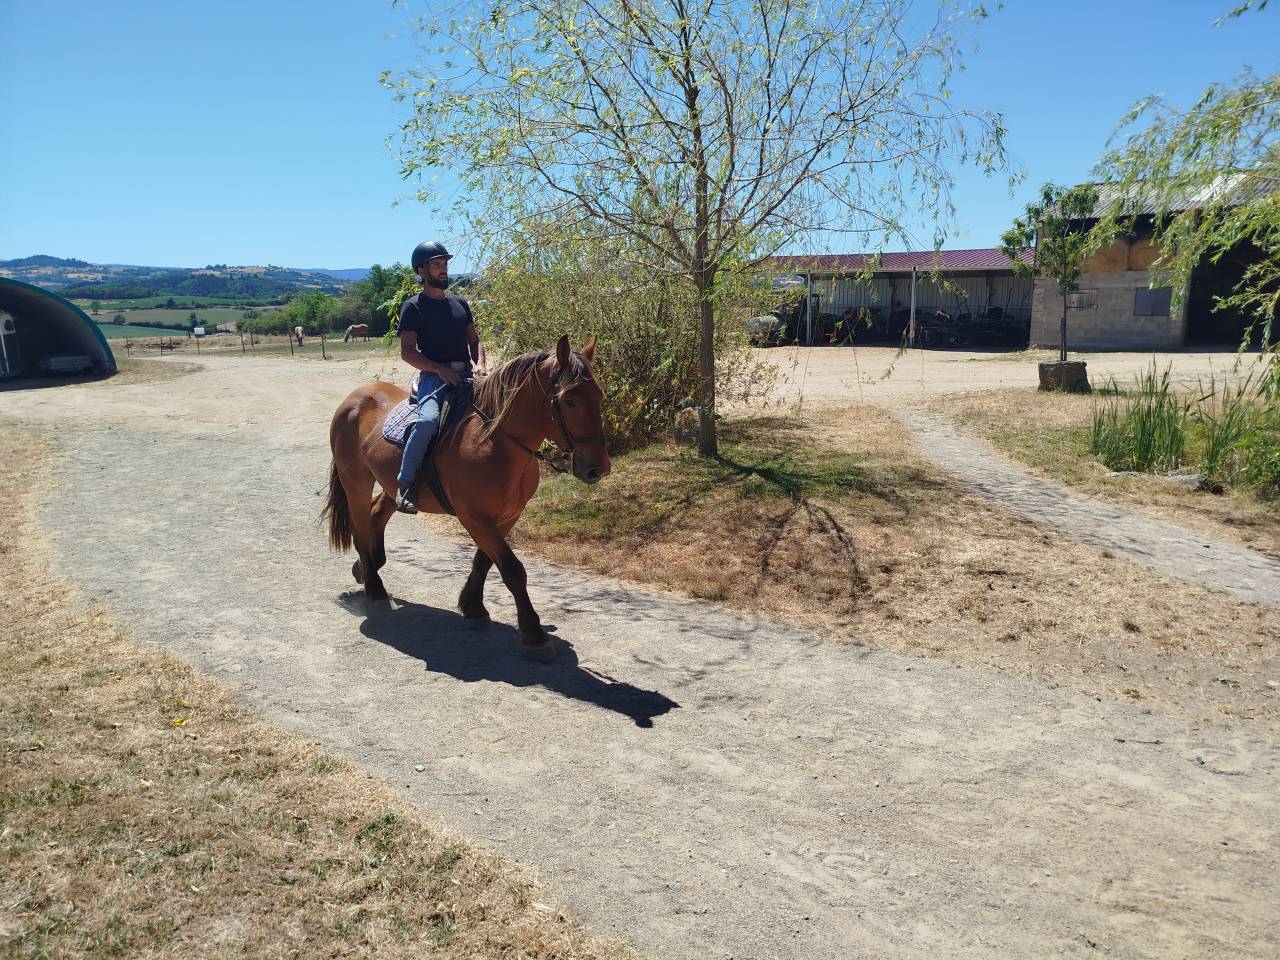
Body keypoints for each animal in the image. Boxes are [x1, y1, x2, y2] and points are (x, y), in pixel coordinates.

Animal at [322, 335, 609, 661]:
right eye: (569, 400)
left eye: (598, 396)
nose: (597, 468)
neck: (494, 442)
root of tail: (353, 399)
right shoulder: (474, 517)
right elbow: (513, 570)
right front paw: (533, 633)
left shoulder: (507, 516)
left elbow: (483, 561)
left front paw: (473, 607)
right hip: (356, 483)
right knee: (359, 529)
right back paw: (375, 588)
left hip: (391, 485)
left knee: (376, 514)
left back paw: (367, 567)